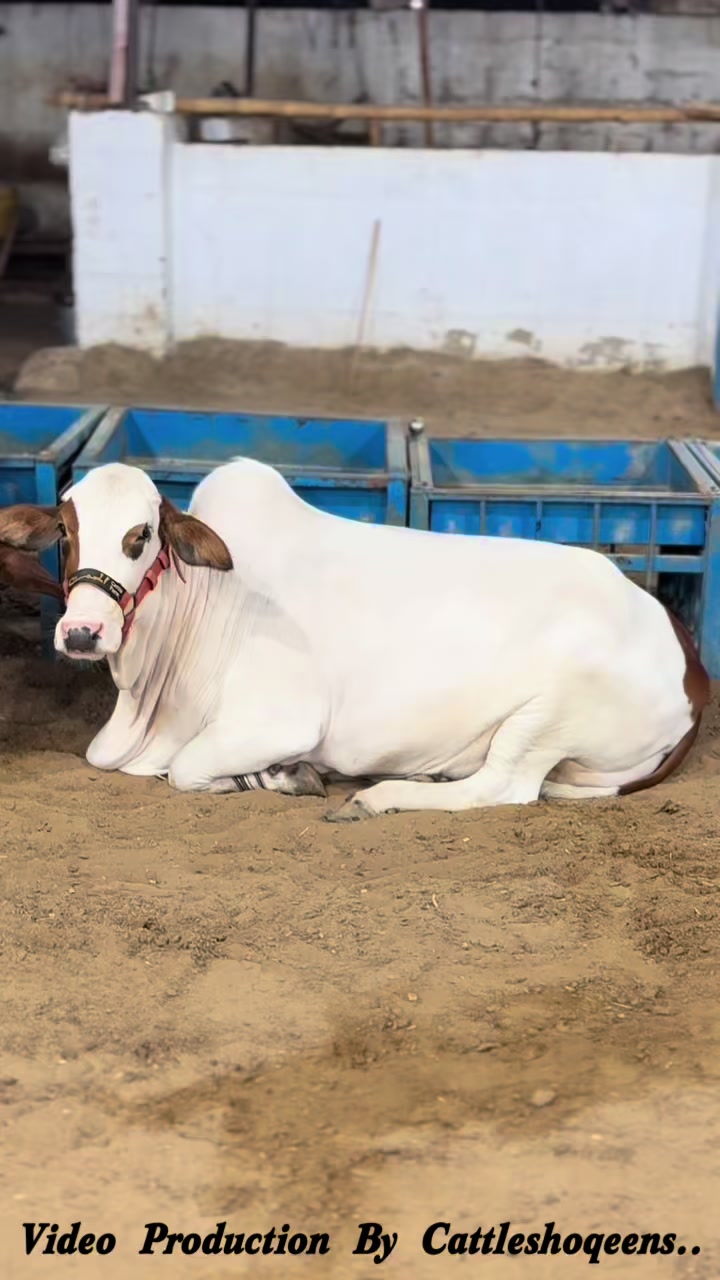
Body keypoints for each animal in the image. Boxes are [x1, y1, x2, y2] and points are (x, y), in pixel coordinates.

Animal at [0, 459, 710, 820]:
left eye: (142, 535)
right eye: (64, 529)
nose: (83, 632)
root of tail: (692, 665)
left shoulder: (280, 719)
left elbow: (187, 770)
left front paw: (276, 778)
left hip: (548, 718)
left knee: (504, 786)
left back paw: (379, 796)